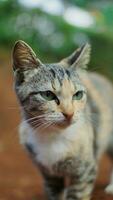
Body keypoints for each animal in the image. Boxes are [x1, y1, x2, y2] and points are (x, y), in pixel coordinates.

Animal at [11, 39, 113, 199]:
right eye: (47, 95)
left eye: (78, 95)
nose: (69, 113)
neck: (53, 135)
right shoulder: (49, 175)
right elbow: (54, 193)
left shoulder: (85, 172)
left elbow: (77, 195)